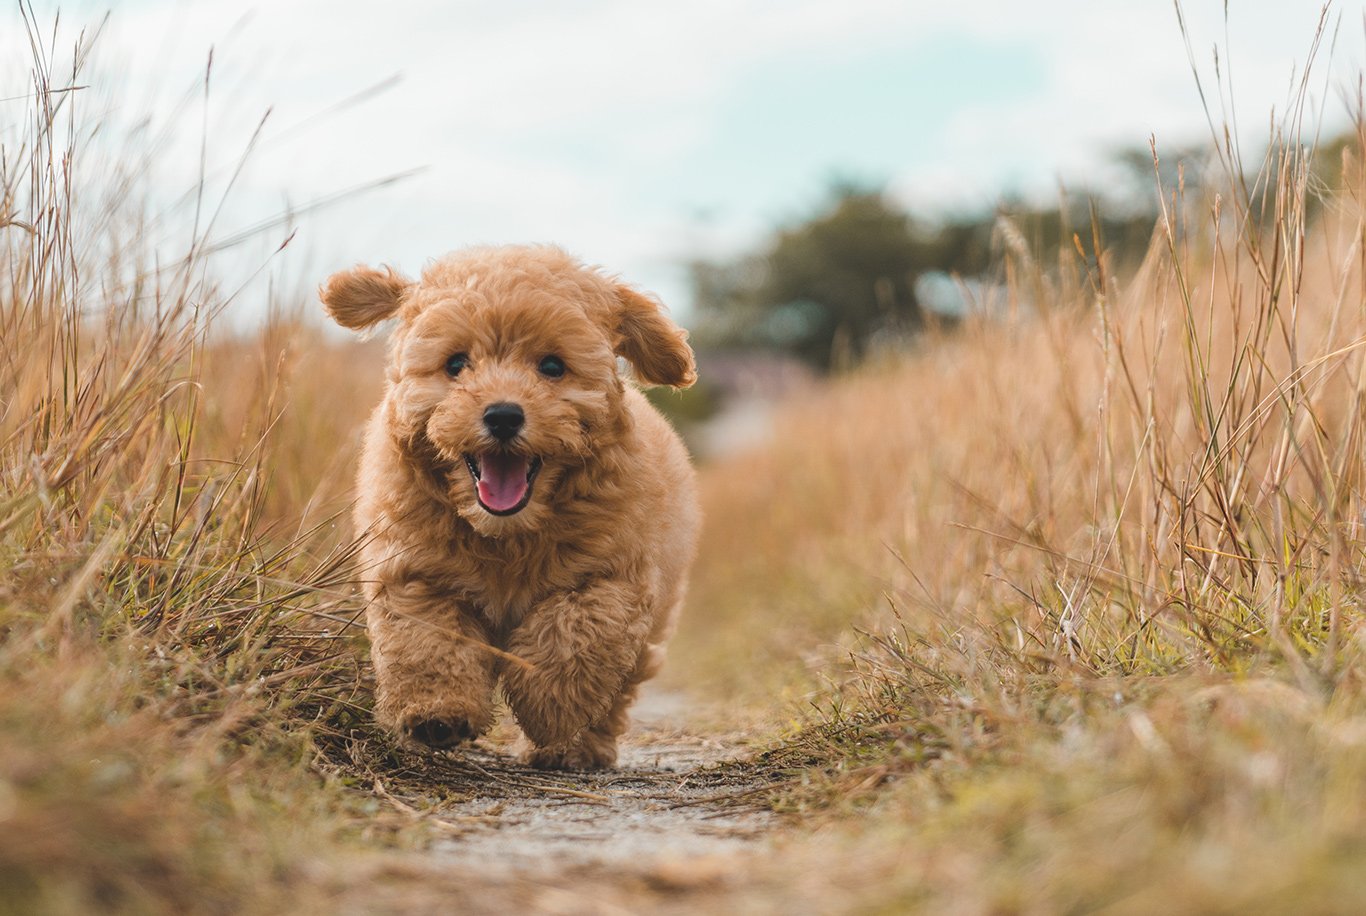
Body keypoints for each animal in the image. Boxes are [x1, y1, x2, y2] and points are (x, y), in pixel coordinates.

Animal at [321, 245, 699, 775]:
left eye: (553, 366)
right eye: (456, 363)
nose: (502, 415)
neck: (508, 533)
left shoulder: (610, 574)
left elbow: (574, 635)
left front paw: (550, 707)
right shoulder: (415, 570)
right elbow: (426, 639)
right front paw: (436, 713)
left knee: (617, 691)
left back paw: (574, 749)